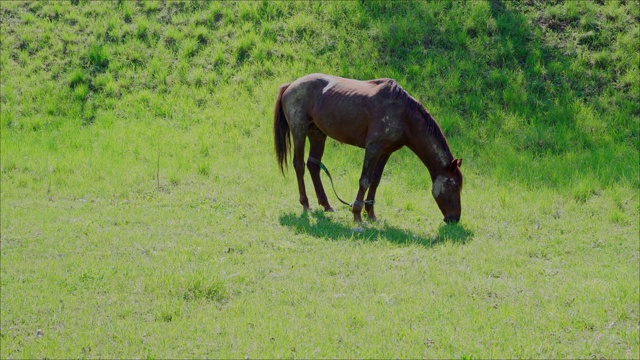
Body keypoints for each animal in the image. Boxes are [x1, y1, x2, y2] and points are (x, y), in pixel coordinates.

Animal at [272, 73, 462, 224]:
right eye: (454, 186)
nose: (454, 218)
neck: (404, 115)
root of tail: (291, 85)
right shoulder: (373, 148)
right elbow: (364, 180)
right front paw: (357, 213)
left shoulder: (385, 151)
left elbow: (375, 180)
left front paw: (371, 213)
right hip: (299, 130)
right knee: (299, 165)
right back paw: (305, 204)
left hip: (317, 133)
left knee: (313, 165)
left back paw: (326, 205)